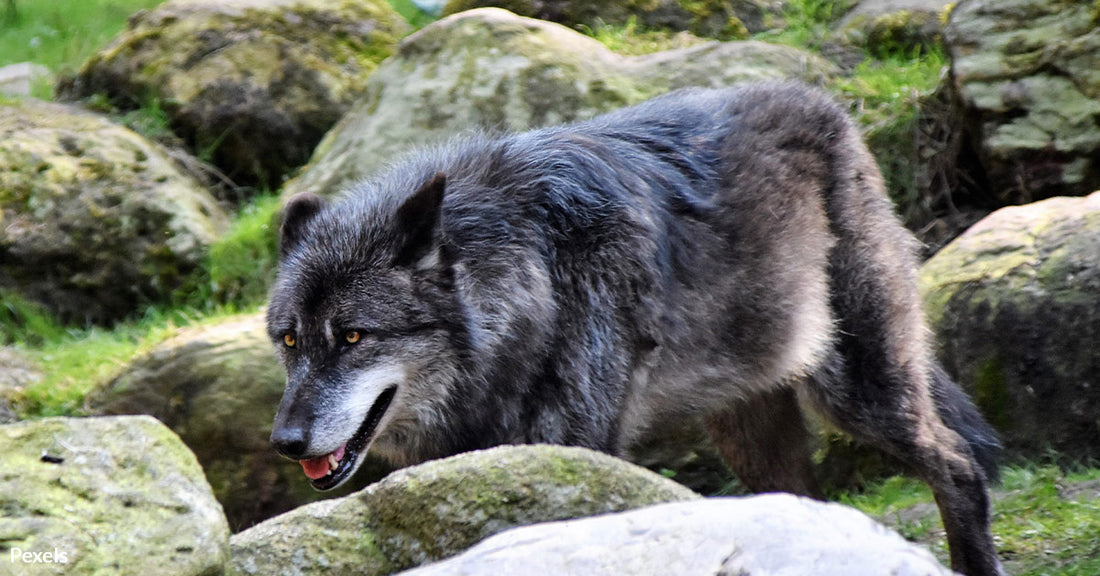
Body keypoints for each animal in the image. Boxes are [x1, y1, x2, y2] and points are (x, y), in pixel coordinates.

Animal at [266, 82, 1003, 576]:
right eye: (291, 340)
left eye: (353, 337)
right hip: (748, 431)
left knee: (957, 464)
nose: (285, 442)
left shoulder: (575, 449)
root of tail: (826, 106)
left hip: (858, 389)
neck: (532, 282)